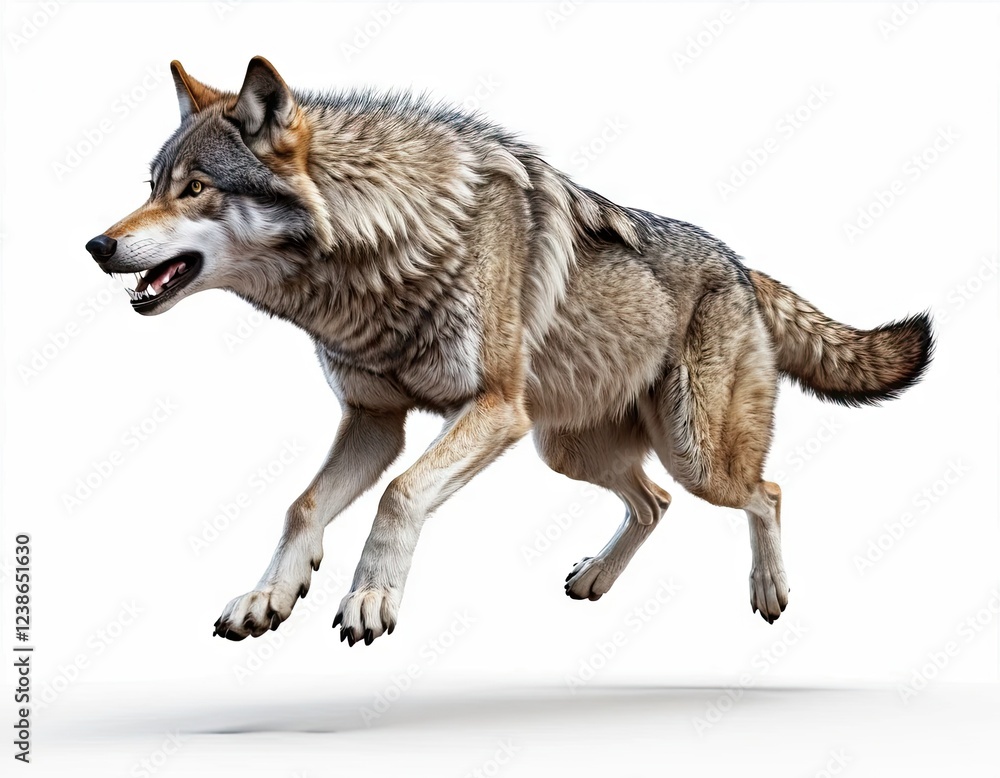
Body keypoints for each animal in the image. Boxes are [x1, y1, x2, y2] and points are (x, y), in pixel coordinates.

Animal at [86, 57, 933, 645]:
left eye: (195, 189)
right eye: (152, 184)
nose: (97, 245)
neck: (378, 253)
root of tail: (743, 267)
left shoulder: (492, 408)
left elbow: (398, 496)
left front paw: (369, 597)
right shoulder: (375, 421)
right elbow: (303, 506)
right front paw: (270, 595)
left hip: (691, 454)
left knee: (768, 492)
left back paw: (768, 592)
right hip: (566, 450)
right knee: (654, 503)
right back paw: (596, 579)